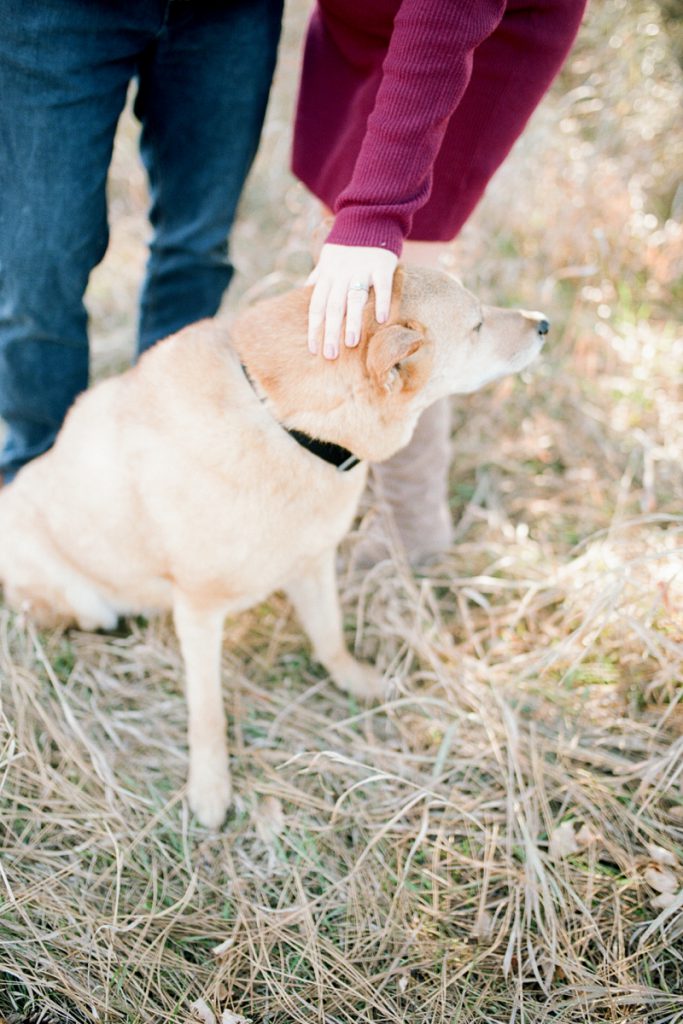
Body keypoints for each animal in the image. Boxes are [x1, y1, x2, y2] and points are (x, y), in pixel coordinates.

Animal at [0, 264, 548, 823]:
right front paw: (210, 787)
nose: (544, 323)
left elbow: (329, 637)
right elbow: (208, 712)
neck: (285, 425)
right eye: (477, 324)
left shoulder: (313, 563)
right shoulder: (199, 611)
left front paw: (354, 679)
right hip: (81, 600)